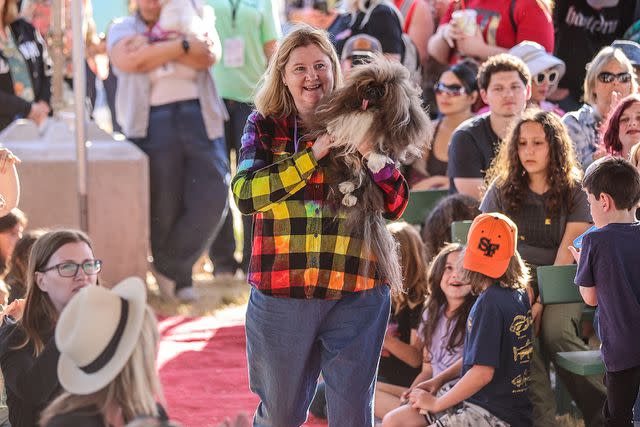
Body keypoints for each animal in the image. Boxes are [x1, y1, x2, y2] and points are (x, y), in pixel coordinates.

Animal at [308, 58, 430, 292]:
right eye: (368, 85)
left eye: (382, 91)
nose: (371, 90)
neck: (369, 112)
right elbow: (338, 124)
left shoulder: (387, 140)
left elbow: (378, 149)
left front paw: (376, 161)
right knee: (355, 176)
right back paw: (346, 190)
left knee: (364, 182)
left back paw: (351, 193)